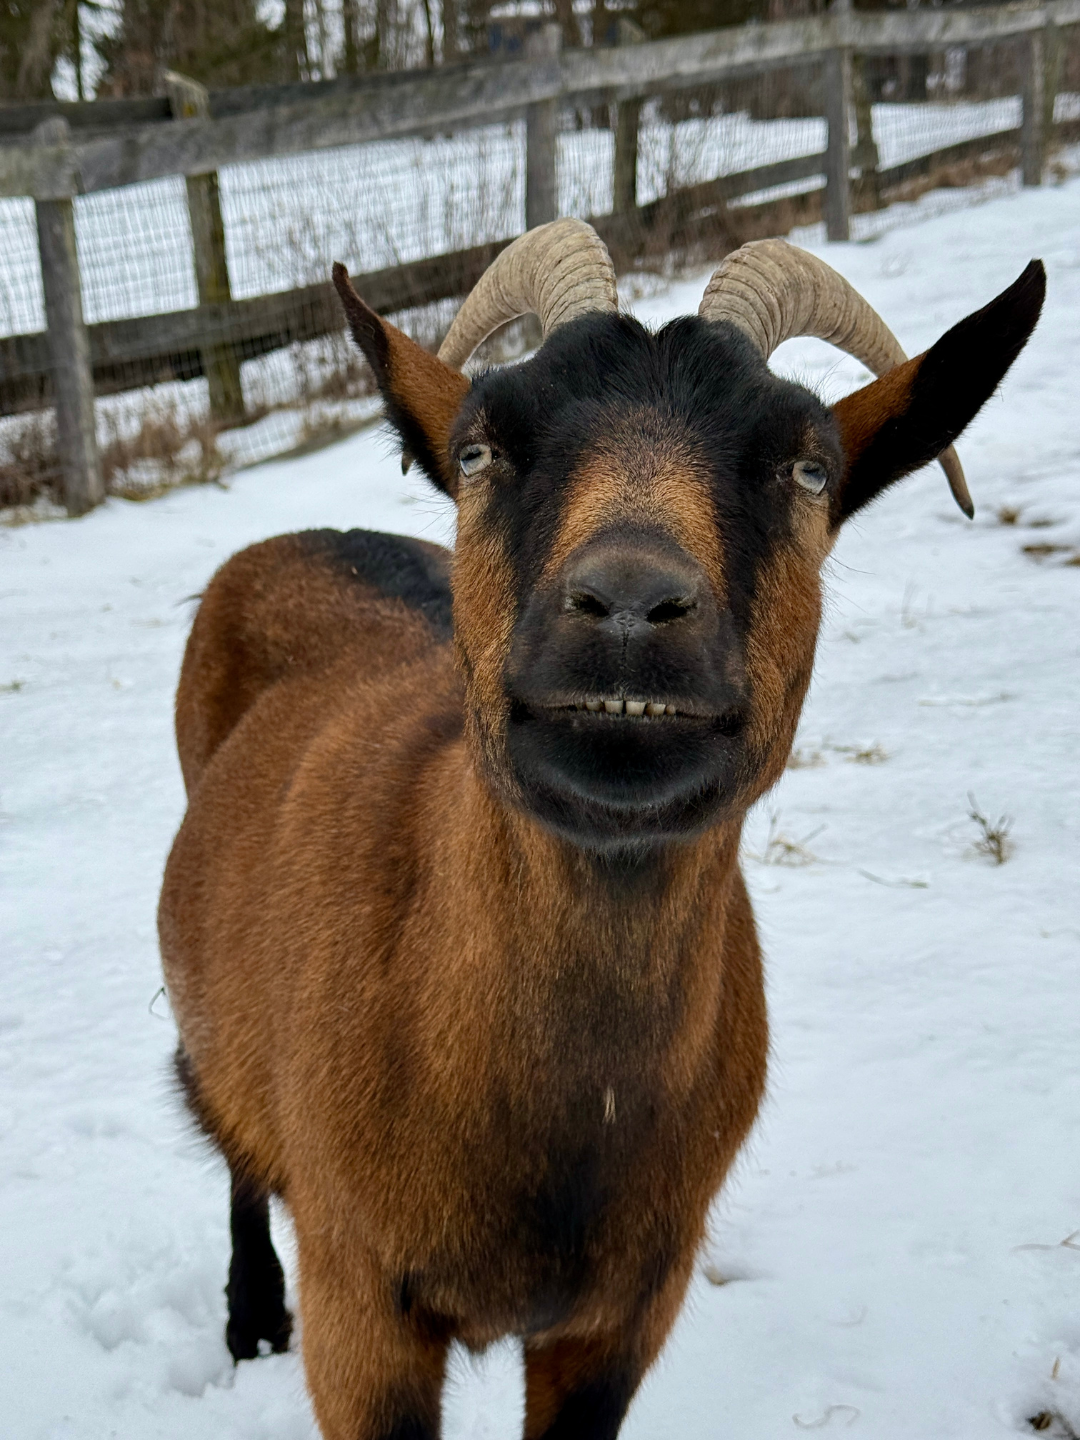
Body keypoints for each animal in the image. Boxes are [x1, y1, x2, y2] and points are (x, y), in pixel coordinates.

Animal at [159, 220, 1044, 1440]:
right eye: (480, 450)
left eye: (810, 467)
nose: (628, 604)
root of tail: (304, 532)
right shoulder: (363, 1310)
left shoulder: (624, 1316)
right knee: (233, 1139)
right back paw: (250, 1317)